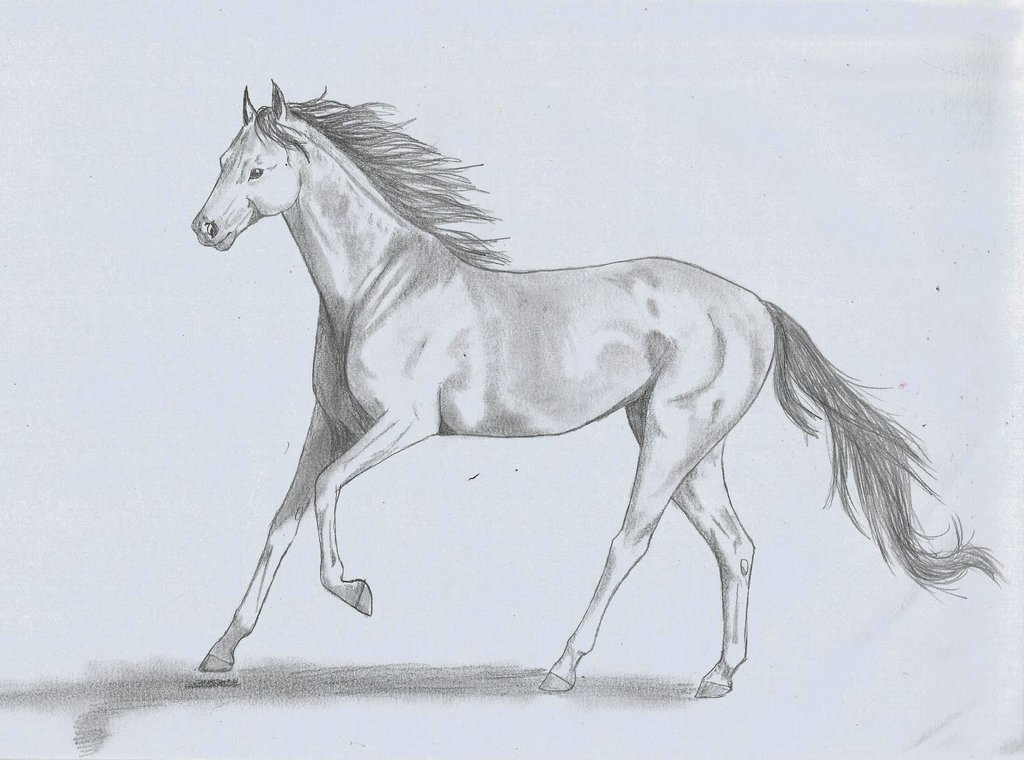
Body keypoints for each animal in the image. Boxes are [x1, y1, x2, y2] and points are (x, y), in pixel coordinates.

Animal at [190, 83, 1001, 698]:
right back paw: (718, 676)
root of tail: (756, 306)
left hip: (671, 441)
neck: (378, 287)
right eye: (224, 160)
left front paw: (355, 591)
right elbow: (282, 521)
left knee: (629, 543)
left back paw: (563, 668)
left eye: (257, 169)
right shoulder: (328, 424)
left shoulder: (401, 425)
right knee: (734, 547)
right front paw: (221, 652)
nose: (205, 228)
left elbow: (327, 492)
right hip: (693, 450)